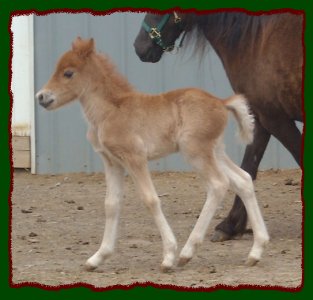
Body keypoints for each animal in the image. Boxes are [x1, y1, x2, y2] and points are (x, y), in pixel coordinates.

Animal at [35, 37, 266, 272]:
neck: (111, 110)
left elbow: (150, 199)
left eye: (68, 73)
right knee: (243, 179)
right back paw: (256, 251)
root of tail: (221, 102)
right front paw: (97, 257)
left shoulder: (135, 157)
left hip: (196, 151)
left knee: (218, 184)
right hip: (215, 151)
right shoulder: (112, 162)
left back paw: (187, 252)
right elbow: (111, 204)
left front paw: (168, 256)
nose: (41, 97)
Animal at [133, 10, 302, 243]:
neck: (256, 42)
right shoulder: (261, 117)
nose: (139, 47)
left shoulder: (275, 118)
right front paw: (230, 225)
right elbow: (249, 165)